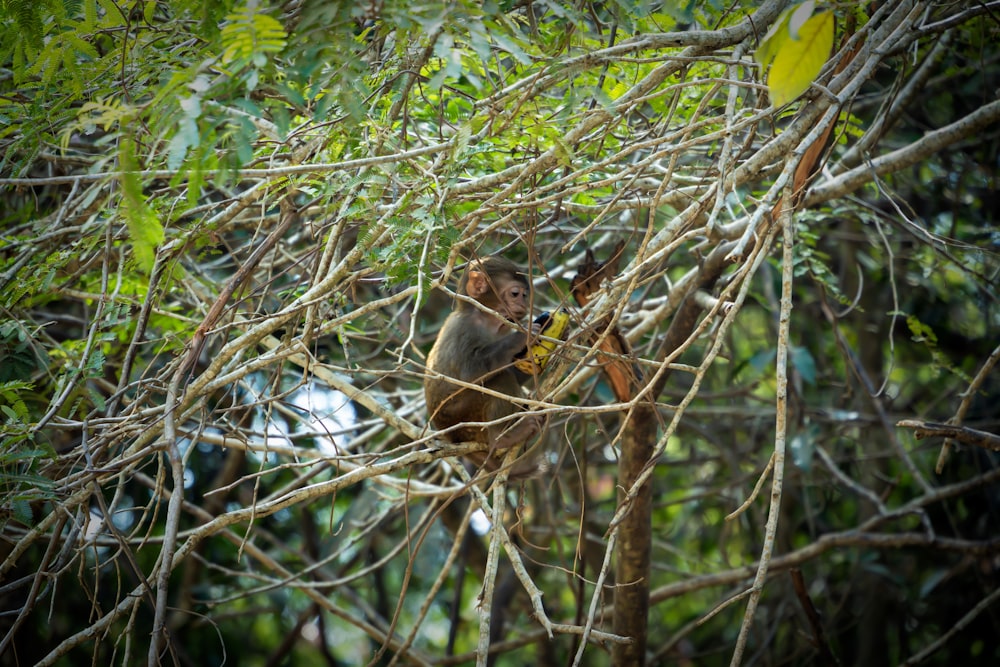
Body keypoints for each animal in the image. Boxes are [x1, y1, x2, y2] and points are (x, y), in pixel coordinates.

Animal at [424, 256, 548, 480]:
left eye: (525, 295)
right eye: (516, 293)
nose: (524, 304)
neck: (489, 320)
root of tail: (452, 438)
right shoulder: (466, 329)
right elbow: (470, 374)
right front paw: (521, 337)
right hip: (465, 418)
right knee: (499, 380)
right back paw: (503, 437)